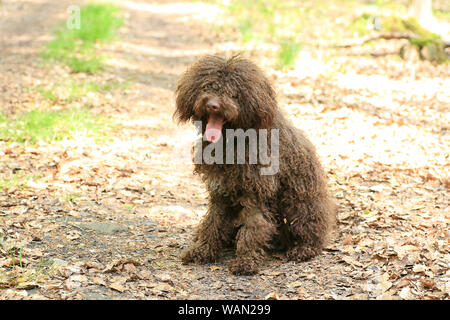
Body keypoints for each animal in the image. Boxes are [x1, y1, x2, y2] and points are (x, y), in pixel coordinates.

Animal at [174, 55, 336, 276]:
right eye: (208, 86)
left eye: (233, 93)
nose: (213, 105)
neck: (234, 139)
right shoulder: (220, 193)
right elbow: (213, 223)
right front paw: (202, 251)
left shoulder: (256, 195)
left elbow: (253, 228)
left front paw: (246, 261)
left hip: (300, 207)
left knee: (312, 233)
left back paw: (303, 249)